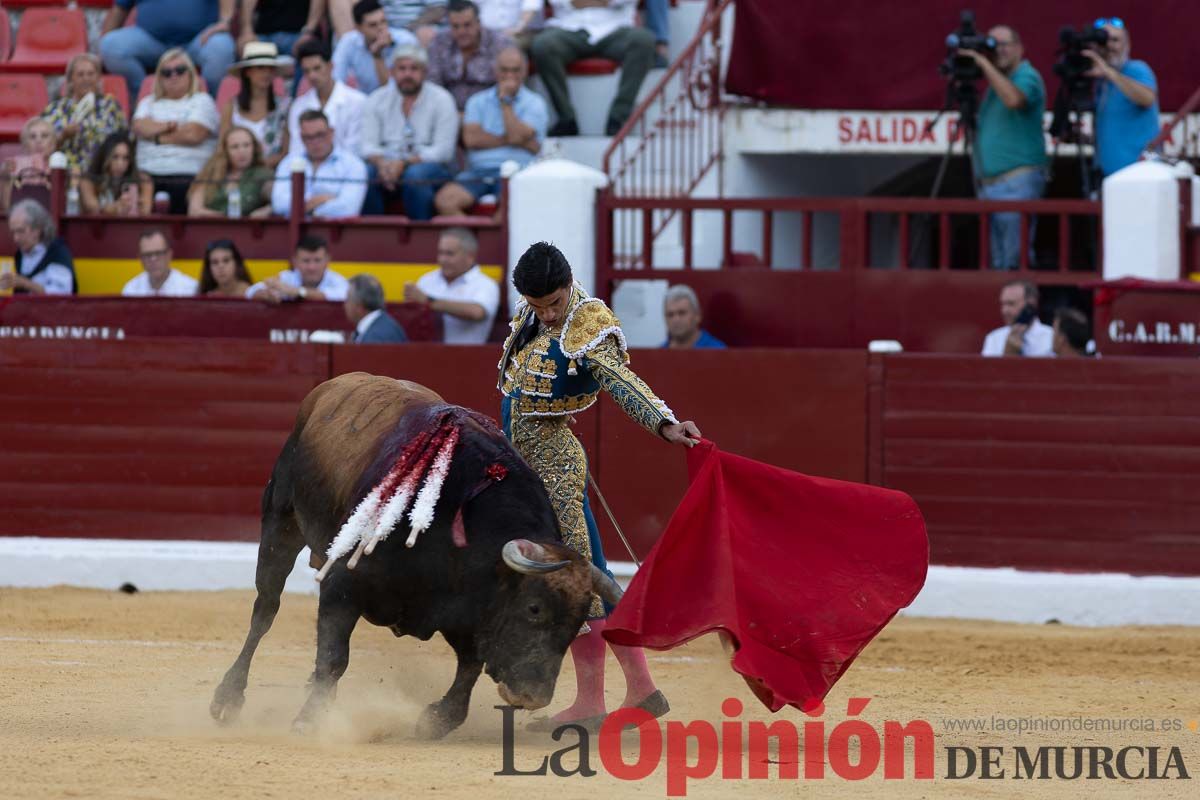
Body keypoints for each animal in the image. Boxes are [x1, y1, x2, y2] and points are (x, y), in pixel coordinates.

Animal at [210, 374, 619, 738]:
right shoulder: (343, 584)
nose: (533, 696)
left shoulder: (466, 609)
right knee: (265, 609)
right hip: (281, 521)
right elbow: (333, 657)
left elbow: (470, 666)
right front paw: (309, 720)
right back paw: (227, 698)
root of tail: (331, 386)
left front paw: (437, 720)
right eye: (534, 608)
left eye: (579, 621)